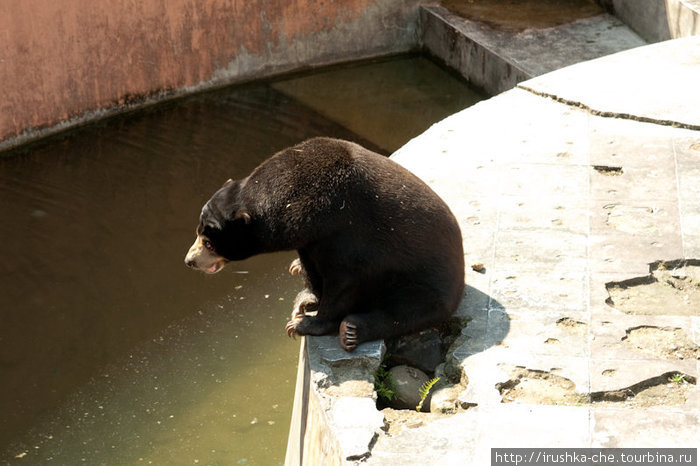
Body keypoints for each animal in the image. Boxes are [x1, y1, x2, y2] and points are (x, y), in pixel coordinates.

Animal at [186, 137, 464, 352]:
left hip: (421, 285)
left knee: (406, 311)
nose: (189, 261)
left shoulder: (344, 232)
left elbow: (344, 281)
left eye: (209, 243)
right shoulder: (310, 240)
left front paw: (302, 324)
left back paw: (351, 330)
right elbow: (310, 266)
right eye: (198, 232)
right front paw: (306, 297)